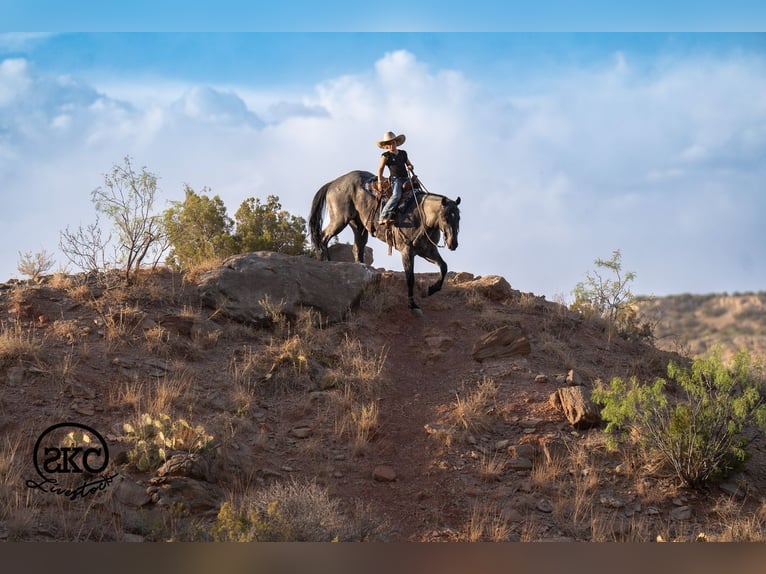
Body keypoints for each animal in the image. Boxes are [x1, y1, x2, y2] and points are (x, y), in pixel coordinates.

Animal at [309, 170, 461, 314]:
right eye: (445, 217)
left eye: (458, 217)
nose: (453, 244)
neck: (421, 215)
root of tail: (334, 183)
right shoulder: (407, 251)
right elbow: (410, 279)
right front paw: (413, 305)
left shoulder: (428, 251)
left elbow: (444, 267)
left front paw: (430, 290)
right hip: (340, 219)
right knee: (323, 237)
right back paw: (326, 261)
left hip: (358, 225)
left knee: (357, 248)